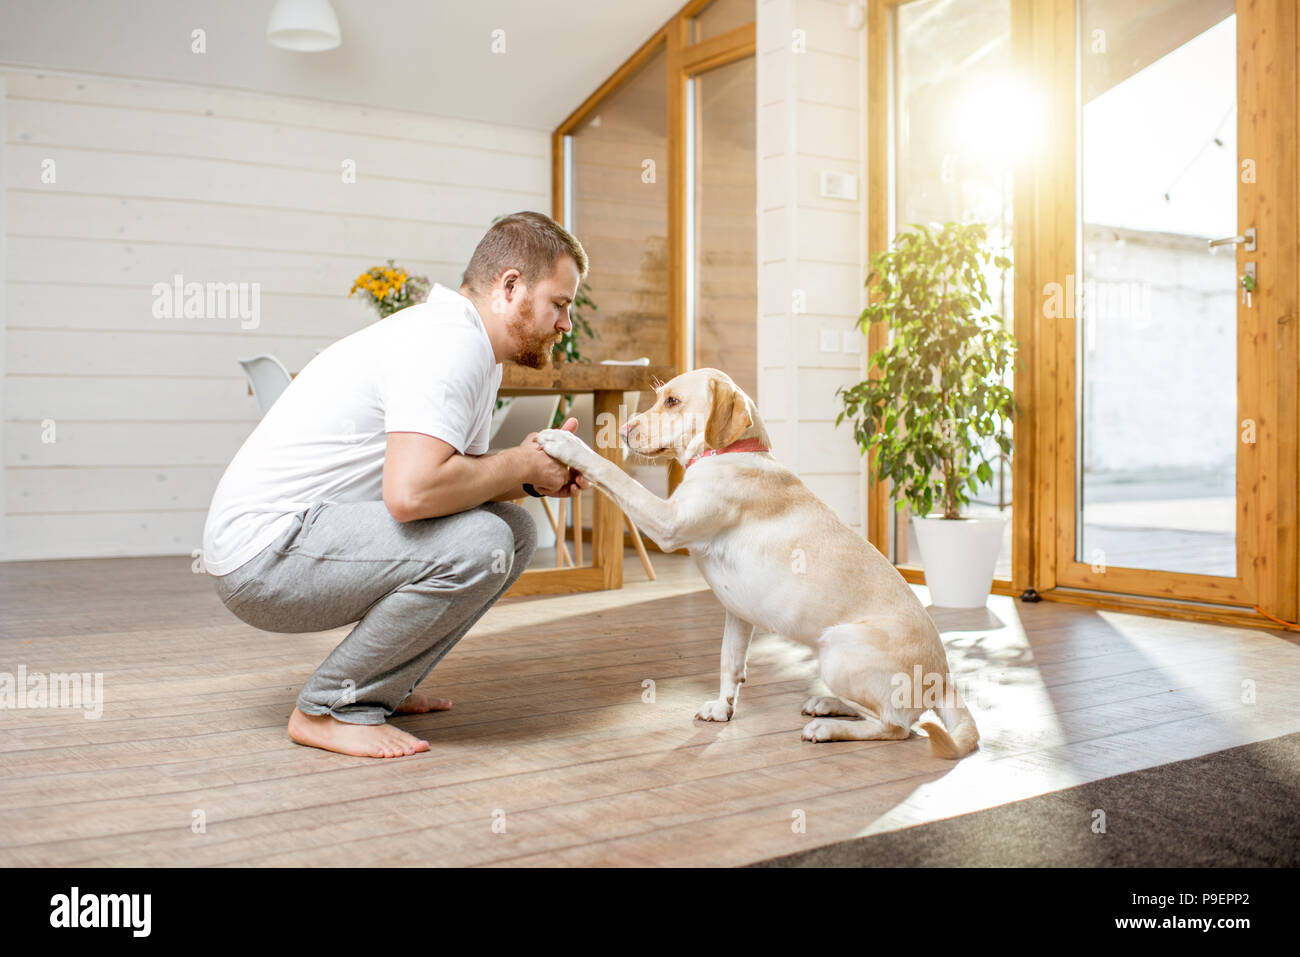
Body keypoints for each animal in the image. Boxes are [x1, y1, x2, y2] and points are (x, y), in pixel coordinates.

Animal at [533, 369, 977, 759]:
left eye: (673, 401)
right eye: (659, 397)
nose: (624, 431)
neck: (730, 453)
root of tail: (944, 679)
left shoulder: (667, 522)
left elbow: (613, 474)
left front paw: (567, 443)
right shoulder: (737, 611)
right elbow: (730, 662)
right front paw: (723, 707)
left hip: (838, 650)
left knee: (896, 726)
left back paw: (828, 727)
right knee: (878, 712)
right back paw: (829, 704)